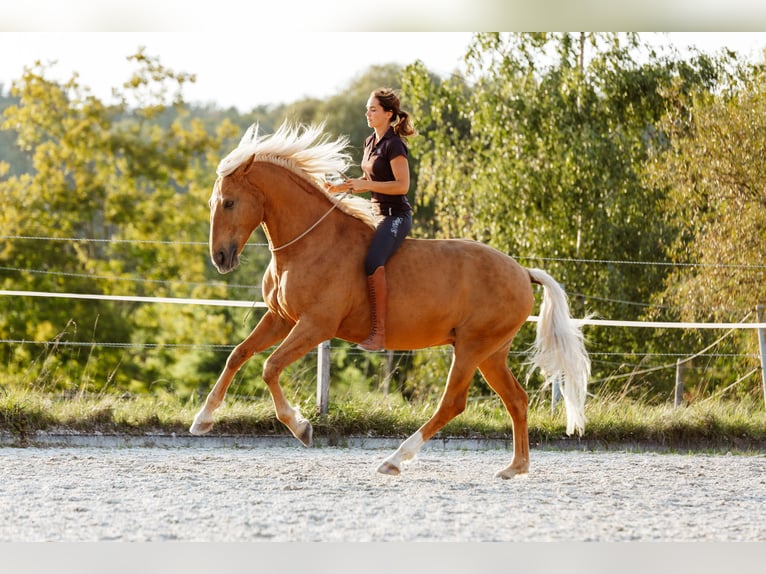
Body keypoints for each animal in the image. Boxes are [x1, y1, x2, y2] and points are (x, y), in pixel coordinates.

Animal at [190, 122, 590, 478]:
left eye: (229, 203)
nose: (220, 258)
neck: (309, 245)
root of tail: (522, 272)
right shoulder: (280, 317)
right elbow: (238, 354)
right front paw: (202, 420)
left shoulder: (315, 326)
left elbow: (270, 367)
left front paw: (301, 427)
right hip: (491, 353)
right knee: (516, 400)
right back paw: (515, 468)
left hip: (473, 347)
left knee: (453, 403)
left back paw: (395, 460)